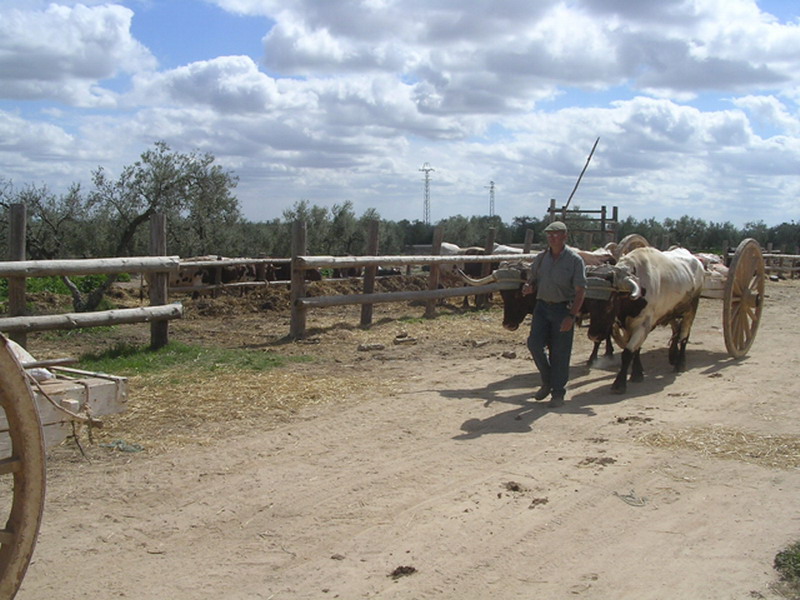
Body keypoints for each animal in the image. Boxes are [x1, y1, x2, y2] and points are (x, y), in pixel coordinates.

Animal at [582, 246, 705, 393]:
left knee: (684, 335)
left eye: (610, 304)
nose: (593, 335)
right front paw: (637, 373)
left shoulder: (642, 325)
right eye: (589, 303)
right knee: (676, 330)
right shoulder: (628, 325)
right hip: (671, 312)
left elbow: (628, 352)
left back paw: (680, 363)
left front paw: (619, 383)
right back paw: (673, 356)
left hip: (691, 308)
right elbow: (636, 349)